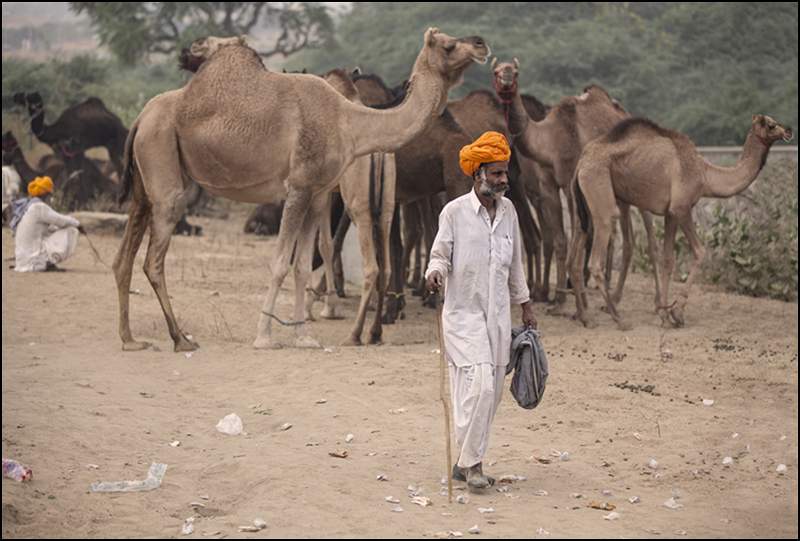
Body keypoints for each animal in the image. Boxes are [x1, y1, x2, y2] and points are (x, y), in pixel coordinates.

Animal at [114, 30, 490, 352]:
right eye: (448, 45)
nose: (480, 43)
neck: (348, 122)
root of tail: (141, 116)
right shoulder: (298, 186)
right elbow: (281, 261)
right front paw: (264, 336)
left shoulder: (317, 190)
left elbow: (302, 265)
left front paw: (304, 336)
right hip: (161, 155)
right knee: (154, 258)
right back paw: (180, 338)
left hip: (145, 179)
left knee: (124, 255)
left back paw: (131, 339)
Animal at [569, 115, 793, 329]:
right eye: (771, 124)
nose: (789, 131)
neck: (705, 175)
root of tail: (580, 163)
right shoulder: (681, 208)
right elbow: (700, 251)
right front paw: (677, 313)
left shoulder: (670, 213)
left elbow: (668, 260)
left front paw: (664, 315)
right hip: (599, 191)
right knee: (596, 257)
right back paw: (619, 320)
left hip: (585, 204)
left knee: (577, 251)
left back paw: (585, 317)